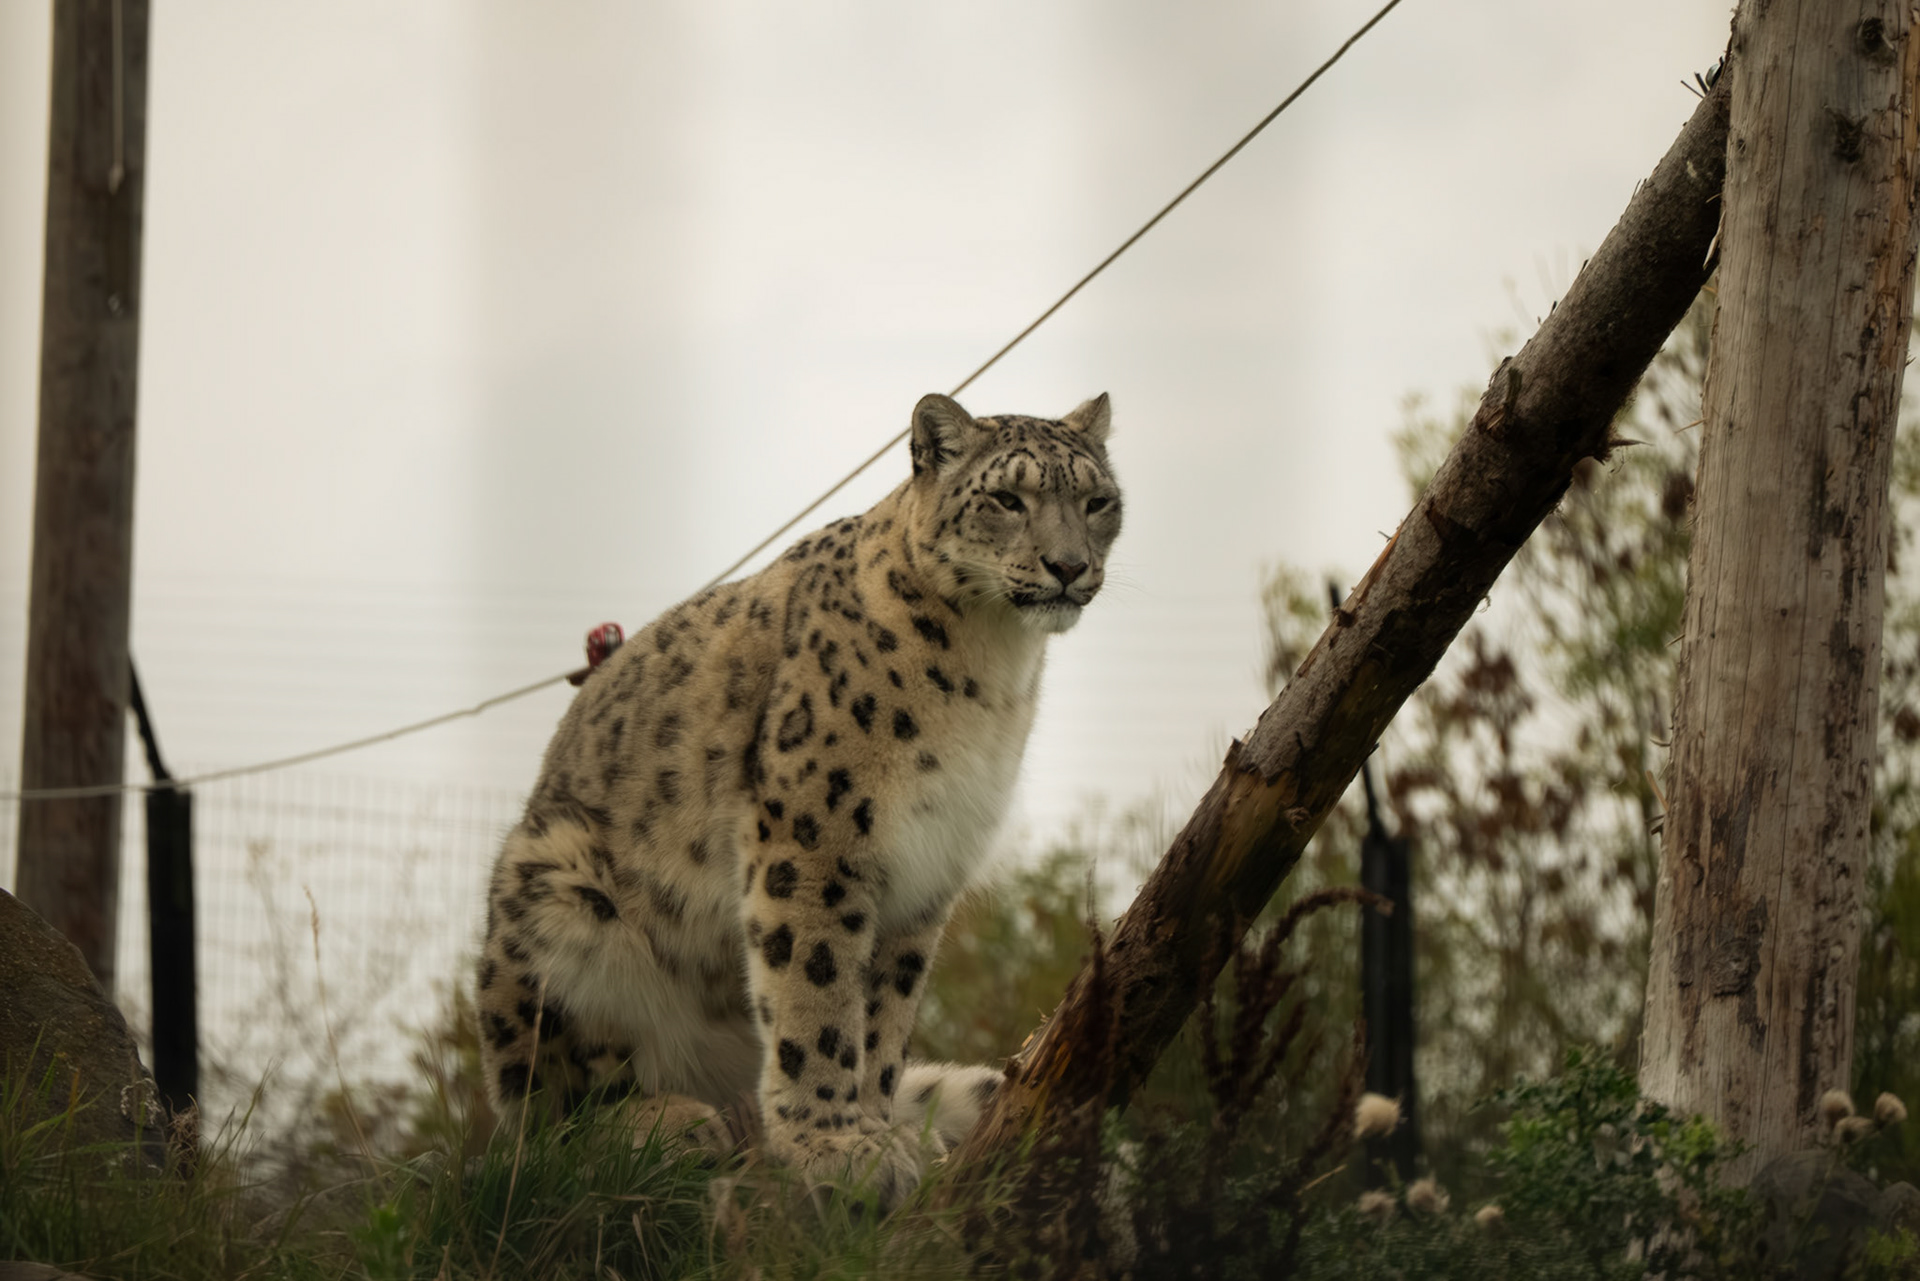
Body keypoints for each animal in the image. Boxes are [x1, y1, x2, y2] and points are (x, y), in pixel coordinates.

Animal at [475, 391, 1122, 1204]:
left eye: (1099, 501)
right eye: (1007, 498)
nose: (1070, 566)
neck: (995, 667)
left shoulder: (929, 865)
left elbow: (881, 1017)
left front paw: (877, 1131)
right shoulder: (819, 835)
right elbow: (816, 988)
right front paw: (833, 1148)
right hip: (552, 895)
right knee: (544, 1121)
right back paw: (664, 1124)